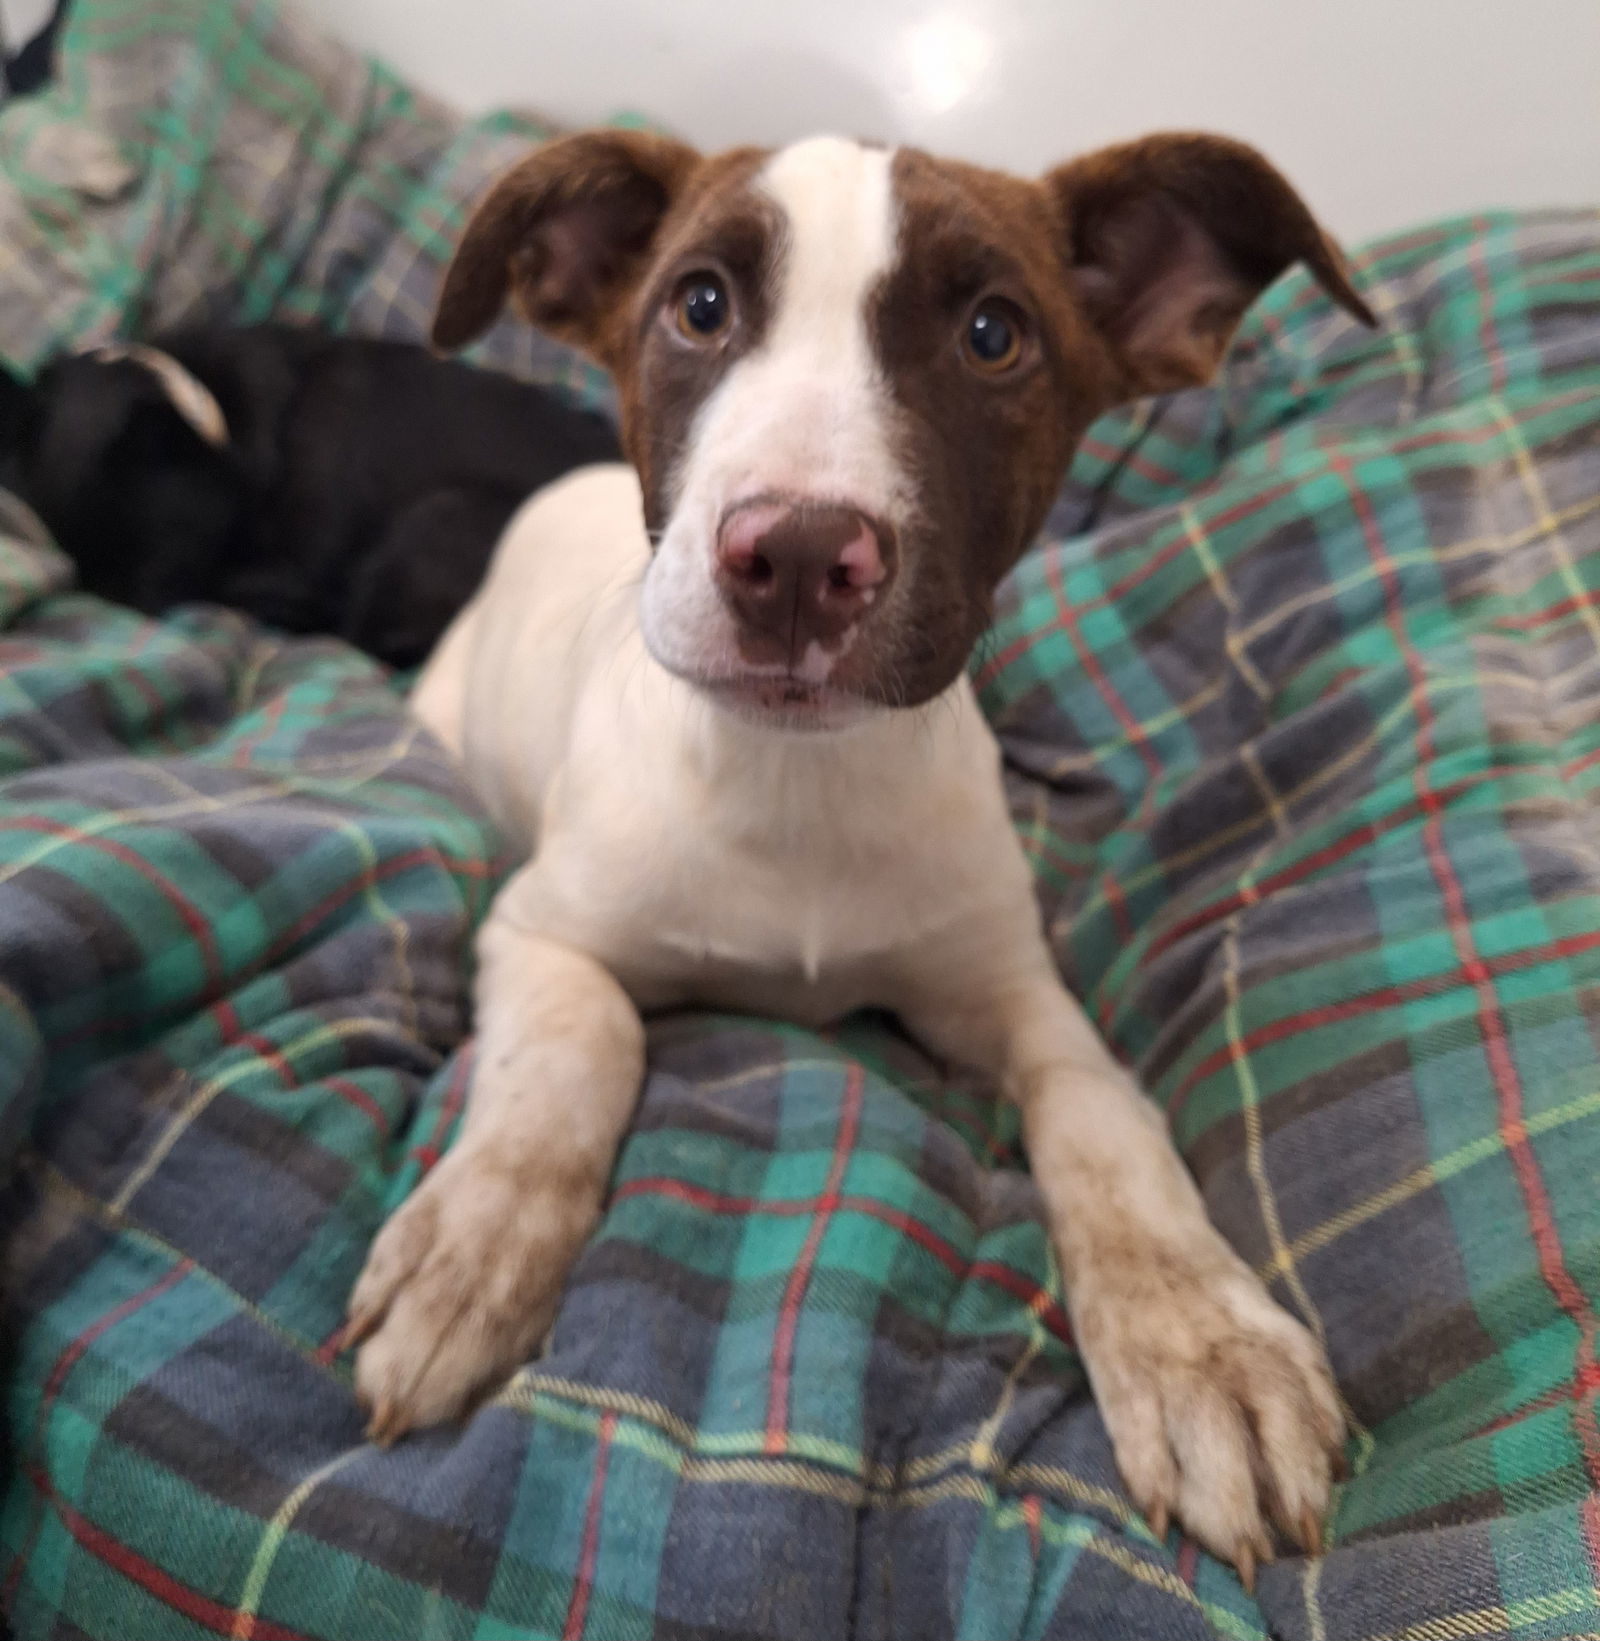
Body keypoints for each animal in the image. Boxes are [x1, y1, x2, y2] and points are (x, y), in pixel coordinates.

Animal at [347, 127, 1378, 1575]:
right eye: (699, 305)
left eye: (994, 334)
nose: (791, 557)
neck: (798, 787)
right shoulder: (539, 929)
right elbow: (576, 1051)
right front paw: (473, 1250)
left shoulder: (1013, 987)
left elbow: (1103, 1115)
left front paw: (1200, 1343)